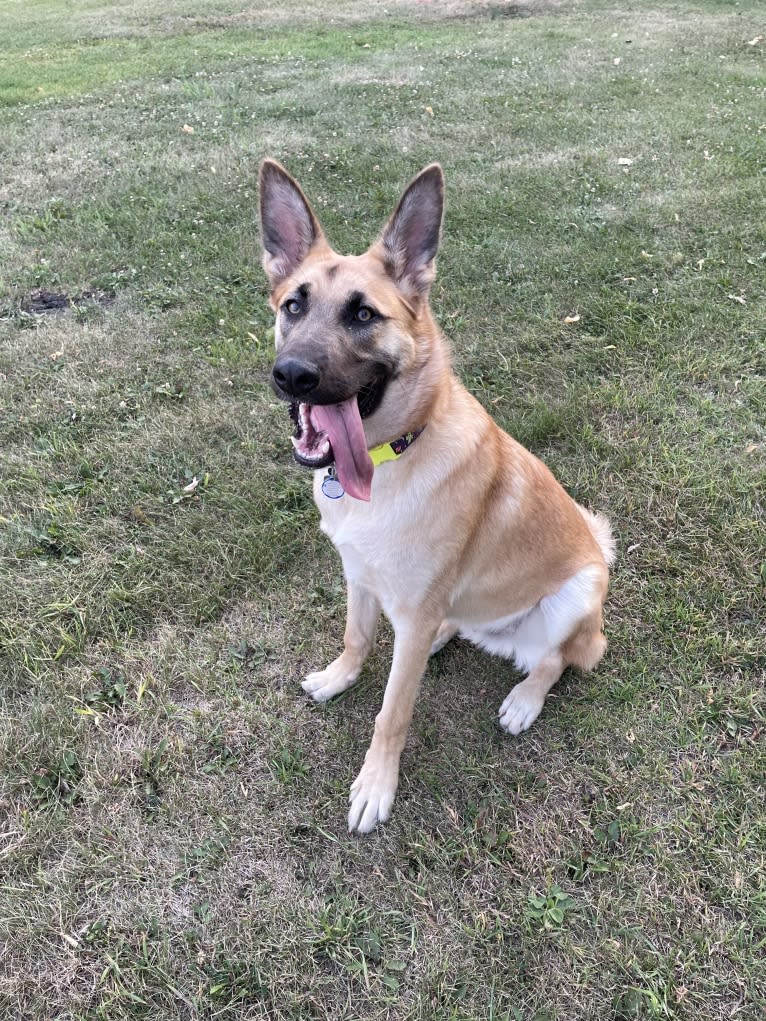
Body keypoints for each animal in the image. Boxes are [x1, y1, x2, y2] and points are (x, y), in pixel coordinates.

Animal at [261, 157, 616, 829]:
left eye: (363, 316)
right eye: (293, 306)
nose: (291, 375)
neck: (393, 453)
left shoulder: (408, 614)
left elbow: (392, 712)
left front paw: (376, 786)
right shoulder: (358, 574)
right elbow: (356, 636)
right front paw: (339, 677)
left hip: (577, 593)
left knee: (555, 660)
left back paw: (524, 698)